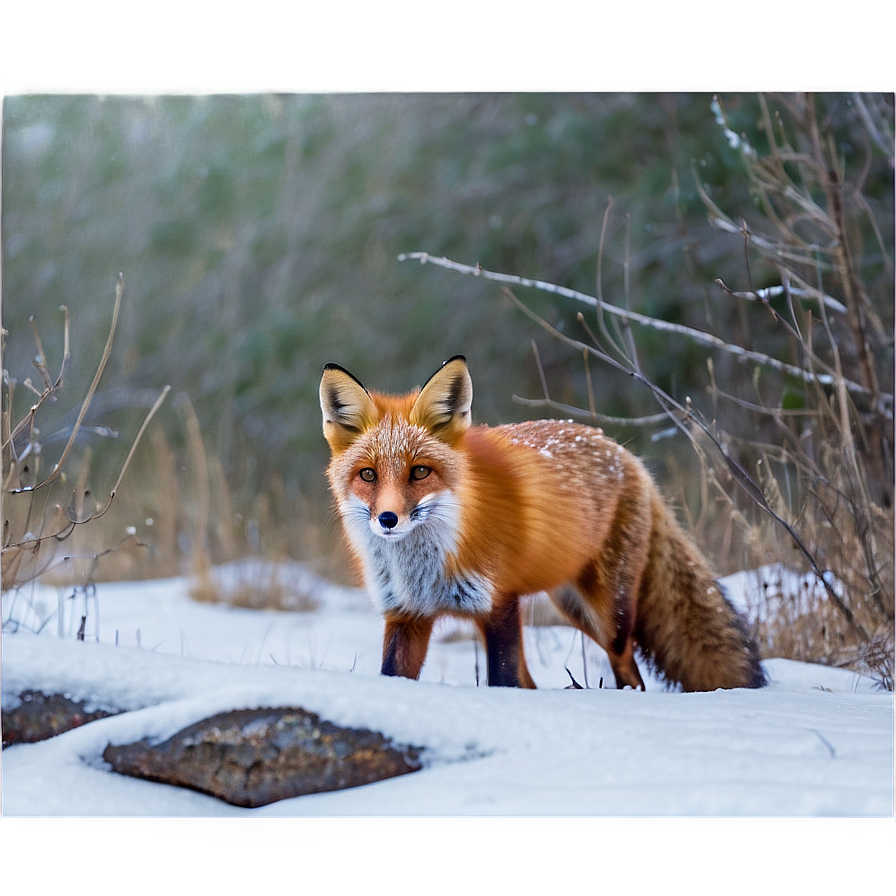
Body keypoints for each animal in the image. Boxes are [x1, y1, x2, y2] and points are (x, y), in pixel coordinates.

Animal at [318, 354, 768, 688]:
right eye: (368, 475)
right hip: (570, 605)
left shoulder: (499, 605)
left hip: (609, 616)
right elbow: (393, 675)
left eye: (420, 472)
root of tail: (625, 454)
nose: (388, 519)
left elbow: (503, 682)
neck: (423, 567)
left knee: (629, 671)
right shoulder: (407, 615)